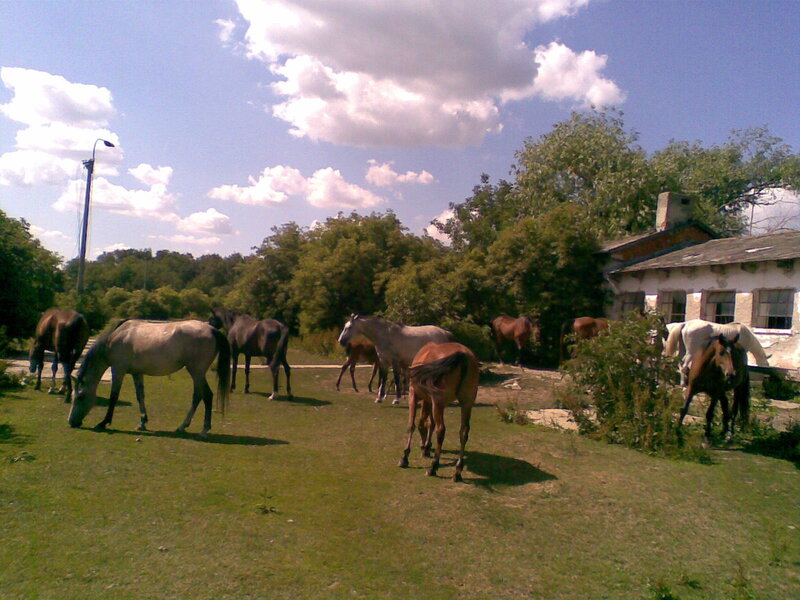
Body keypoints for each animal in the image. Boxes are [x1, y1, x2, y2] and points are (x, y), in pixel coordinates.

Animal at [68, 319, 231, 437]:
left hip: (197, 372)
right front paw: (142, 422)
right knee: (197, 396)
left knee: (207, 395)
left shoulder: (118, 370)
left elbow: (114, 396)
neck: (114, 339)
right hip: (196, 374)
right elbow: (140, 396)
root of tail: (212, 329)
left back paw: (204, 429)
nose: (71, 422)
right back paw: (182, 426)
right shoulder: (137, 373)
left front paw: (104, 422)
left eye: (80, 396)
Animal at [398, 342, 480, 482]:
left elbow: (413, 425)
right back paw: (457, 471)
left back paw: (433, 467)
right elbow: (430, 423)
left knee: (441, 430)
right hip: (467, 402)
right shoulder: (429, 401)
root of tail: (463, 355)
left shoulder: (414, 395)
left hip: (438, 402)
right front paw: (426, 446)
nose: (425, 448)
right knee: (463, 432)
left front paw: (405, 457)